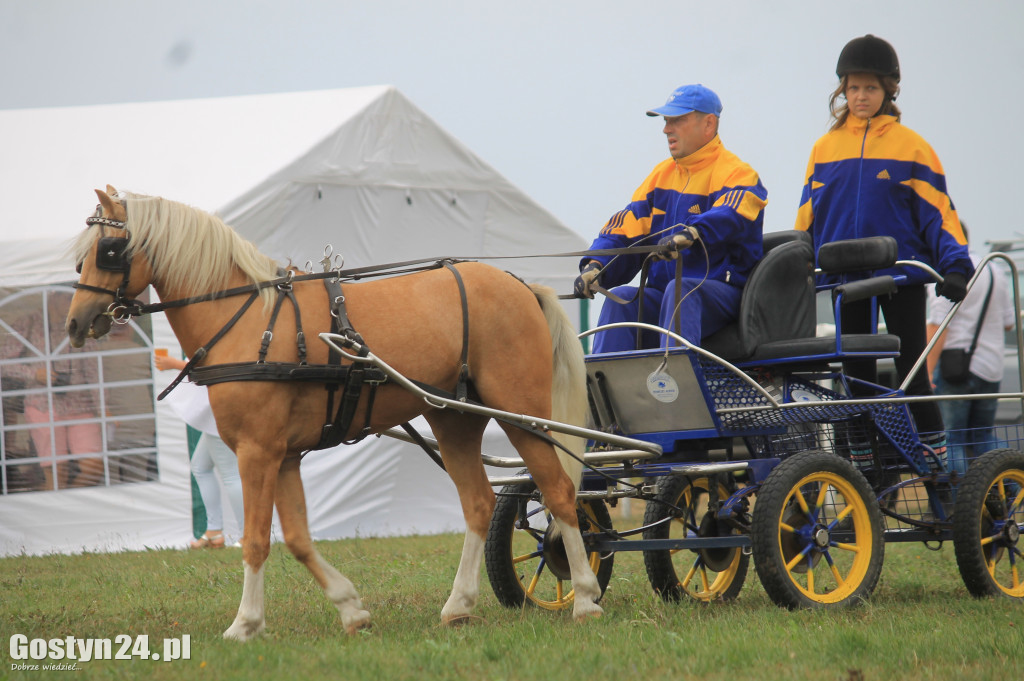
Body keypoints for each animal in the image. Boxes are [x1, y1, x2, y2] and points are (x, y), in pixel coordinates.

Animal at [66, 184, 606, 639]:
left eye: (107, 251)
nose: (75, 324)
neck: (249, 321)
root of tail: (520, 284)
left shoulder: (256, 452)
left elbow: (256, 539)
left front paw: (245, 624)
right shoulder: (284, 455)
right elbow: (298, 539)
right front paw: (351, 609)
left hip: (521, 413)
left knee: (559, 492)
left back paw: (584, 597)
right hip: (453, 418)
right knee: (479, 503)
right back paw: (459, 605)